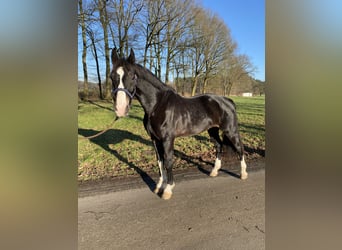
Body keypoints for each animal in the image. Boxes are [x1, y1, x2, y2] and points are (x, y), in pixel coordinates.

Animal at [111, 47, 247, 199]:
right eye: (111, 76)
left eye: (132, 76)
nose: (120, 109)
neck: (157, 105)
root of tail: (228, 101)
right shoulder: (154, 139)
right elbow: (159, 161)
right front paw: (159, 186)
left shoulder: (167, 139)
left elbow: (168, 161)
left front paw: (168, 189)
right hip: (213, 129)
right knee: (219, 146)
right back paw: (214, 171)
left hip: (230, 130)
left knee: (239, 148)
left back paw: (243, 174)